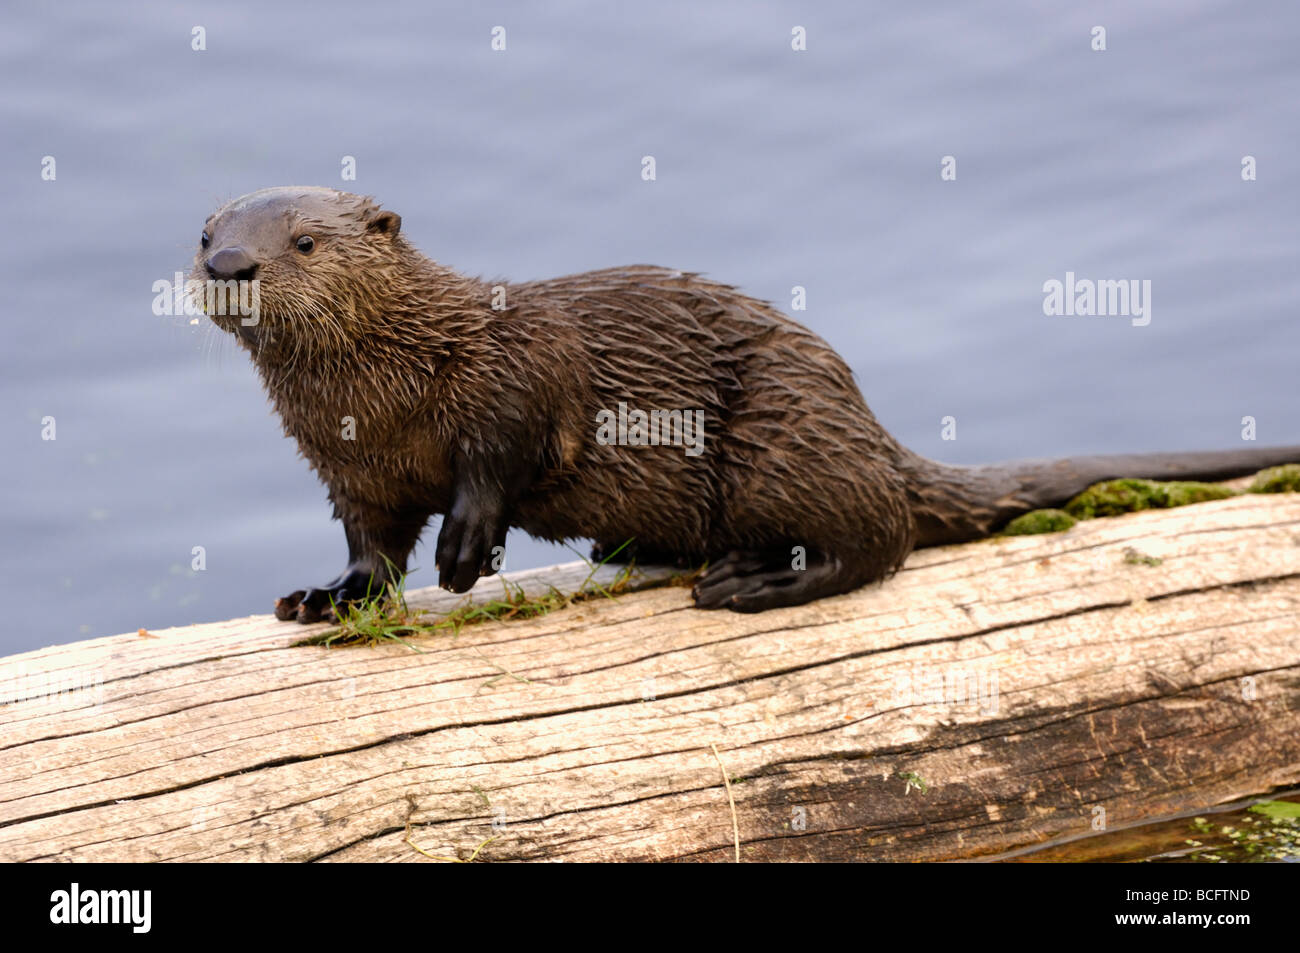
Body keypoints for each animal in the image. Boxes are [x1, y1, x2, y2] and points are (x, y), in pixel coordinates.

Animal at [192, 187, 1300, 621]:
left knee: (878, 543)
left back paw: (751, 578)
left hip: (783, 432)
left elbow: (500, 461)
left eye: (304, 241)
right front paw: (325, 595)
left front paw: (469, 547)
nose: (232, 264)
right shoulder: (348, 466)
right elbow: (370, 543)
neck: (384, 395)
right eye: (206, 233)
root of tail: (866, 423)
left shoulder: (517, 372)